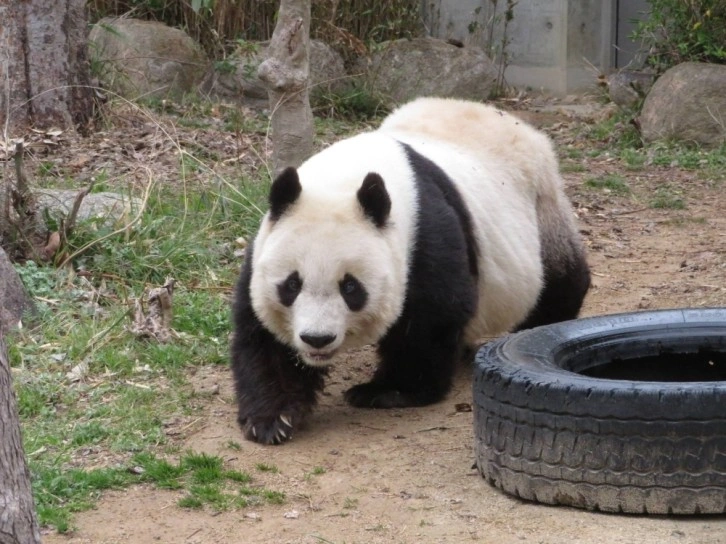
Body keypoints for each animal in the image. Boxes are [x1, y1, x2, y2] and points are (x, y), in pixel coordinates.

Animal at [232, 99, 592, 446]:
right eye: (291, 285)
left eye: (351, 288)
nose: (317, 339)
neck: (344, 180)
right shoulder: (265, 245)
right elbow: (263, 335)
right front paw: (273, 419)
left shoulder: (424, 235)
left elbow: (429, 317)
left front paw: (388, 391)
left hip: (543, 210)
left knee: (559, 282)